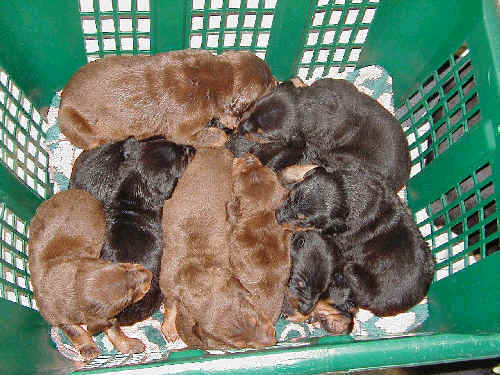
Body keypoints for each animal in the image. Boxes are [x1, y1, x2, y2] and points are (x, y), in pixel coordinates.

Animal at [27, 191, 151, 362]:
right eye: (128, 298)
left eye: (121, 266)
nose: (149, 273)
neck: (73, 285)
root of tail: (78, 192)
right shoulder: (57, 317)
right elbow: (76, 331)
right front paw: (90, 349)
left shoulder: (108, 318)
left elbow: (115, 332)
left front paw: (131, 345)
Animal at [60, 49, 278, 151]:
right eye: (267, 84)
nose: (277, 82)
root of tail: (62, 98)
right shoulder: (185, 123)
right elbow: (186, 136)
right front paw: (219, 135)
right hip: (73, 122)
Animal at [160, 147, 276, 350]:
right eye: (239, 343)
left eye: (254, 318)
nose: (273, 341)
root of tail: (214, 148)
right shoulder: (167, 283)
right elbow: (170, 305)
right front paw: (169, 326)